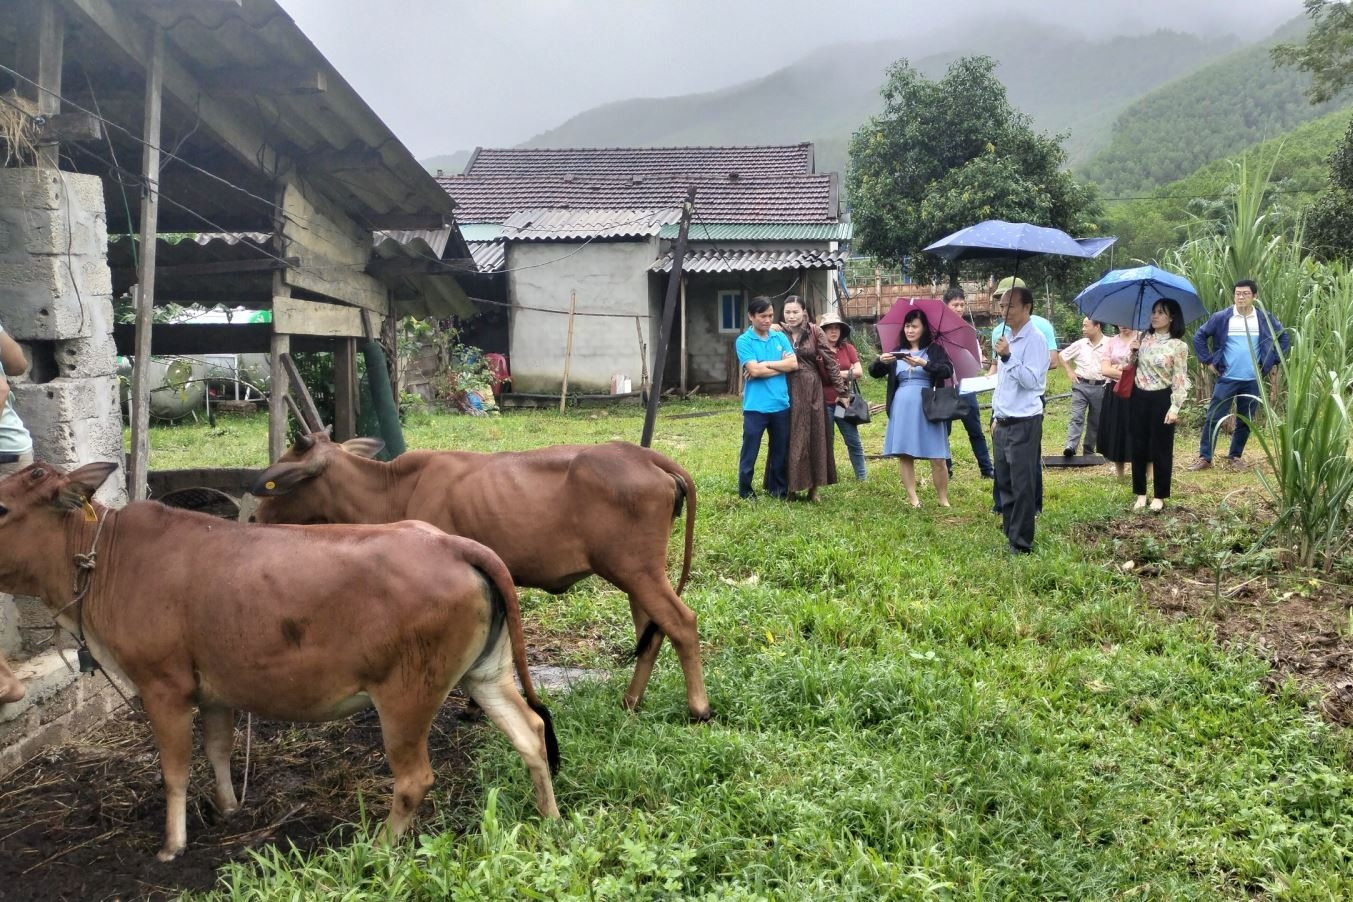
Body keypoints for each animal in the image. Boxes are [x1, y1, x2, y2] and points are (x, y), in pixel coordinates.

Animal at [0, 462, 560, 865]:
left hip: (405, 695)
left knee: (415, 778)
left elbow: (174, 769)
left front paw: (171, 845)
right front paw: (228, 808)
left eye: (2, 506)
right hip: (484, 674)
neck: (104, 559)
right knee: (530, 732)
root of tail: (451, 543)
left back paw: (377, 849)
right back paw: (549, 817)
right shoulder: (215, 689)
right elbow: (218, 749)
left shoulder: (164, 685)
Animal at [254, 432, 719, 724]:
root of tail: (643, 455)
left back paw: (698, 708)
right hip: (638, 574)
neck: (390, 489)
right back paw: (631, 700)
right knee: (651, 633)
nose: (254, 518)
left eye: (277, 483)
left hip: (636, 570)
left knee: (681, 623)